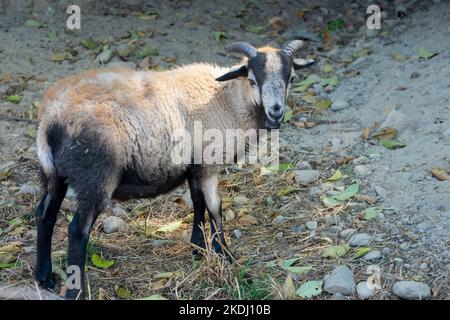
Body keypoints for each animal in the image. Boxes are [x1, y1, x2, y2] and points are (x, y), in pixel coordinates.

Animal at [34, 40, 312, 300]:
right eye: (253, 80)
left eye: (291, 78)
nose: (276, 113)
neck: (227, 99)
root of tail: (51, 119)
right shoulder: (209, 164)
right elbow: (215, 208)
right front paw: (225, 255)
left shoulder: (194, 165)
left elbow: (198, 203)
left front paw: (198, 248)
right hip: (95, 176)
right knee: (77, 231)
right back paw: (75, 291)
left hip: (54, 174)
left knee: (44, 215)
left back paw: (44, 277)